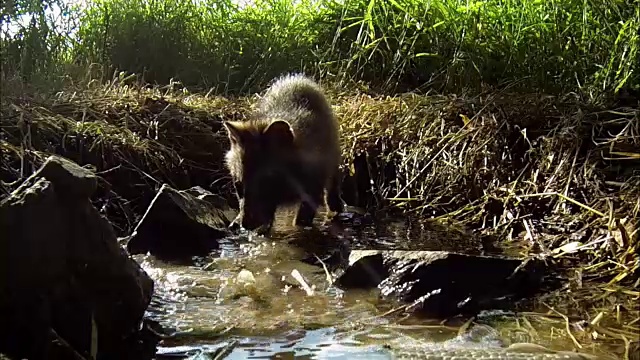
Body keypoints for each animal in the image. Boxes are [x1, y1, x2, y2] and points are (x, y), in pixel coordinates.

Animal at [222, 73, 342, 233]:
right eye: (238, 186)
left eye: (264, 185)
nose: (245, 225)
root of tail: (297, 78)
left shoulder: (315, 177)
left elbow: (306, 210)